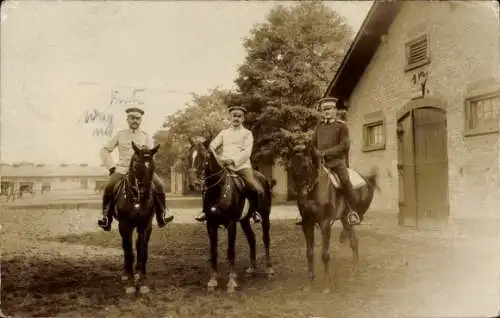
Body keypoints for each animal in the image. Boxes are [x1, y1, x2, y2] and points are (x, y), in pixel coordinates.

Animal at [113, 142, 160, 296]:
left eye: (152, 165)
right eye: (135, 165)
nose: (144, 193)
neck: (136, 199)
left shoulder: (145, 225)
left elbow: (142, 250)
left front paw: (141, 279)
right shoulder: (124, 226)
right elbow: (129, 251)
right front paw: (130, 281)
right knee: (125, 248)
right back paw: (126, 273)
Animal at [187, 136, 276, 294]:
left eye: (204, 157)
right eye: (188, 156)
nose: (193, 184)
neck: (218, 189)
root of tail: (263, 178)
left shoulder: (231, 224)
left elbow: (231, 251)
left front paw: (231, 282)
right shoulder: (211, 224)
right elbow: (214, 251)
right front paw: (213, 281)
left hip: (265, 217)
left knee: (266, 239)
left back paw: (269, 269)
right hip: (245, 220)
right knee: (252, 239)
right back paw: (252, 269)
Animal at [282, 128, 378, 292]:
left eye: (306, 166)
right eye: (290, 167)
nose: (301, 196)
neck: (314, 189)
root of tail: (366, 178)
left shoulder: (325, 223)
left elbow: (325, 254)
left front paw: (327, 285)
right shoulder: (307, 224)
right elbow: (310, 253)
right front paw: (310, 283)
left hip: (350, 216)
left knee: (354, 236)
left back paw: (354, 272)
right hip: (345, 219)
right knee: (354, 242)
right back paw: (354, 272)